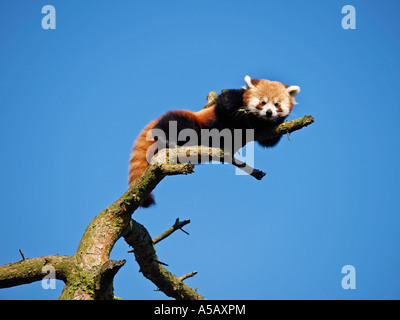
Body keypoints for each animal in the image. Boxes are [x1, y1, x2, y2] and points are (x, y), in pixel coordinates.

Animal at [128, 77, 300, 208]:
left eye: (277, 104)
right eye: (262, 102)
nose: (269, 112)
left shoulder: (266, 130)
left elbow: (270, 140)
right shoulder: (230, 100)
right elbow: (227, 107)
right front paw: (242, 115)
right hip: (187, 120)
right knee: (176, 125)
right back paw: (166, 138)